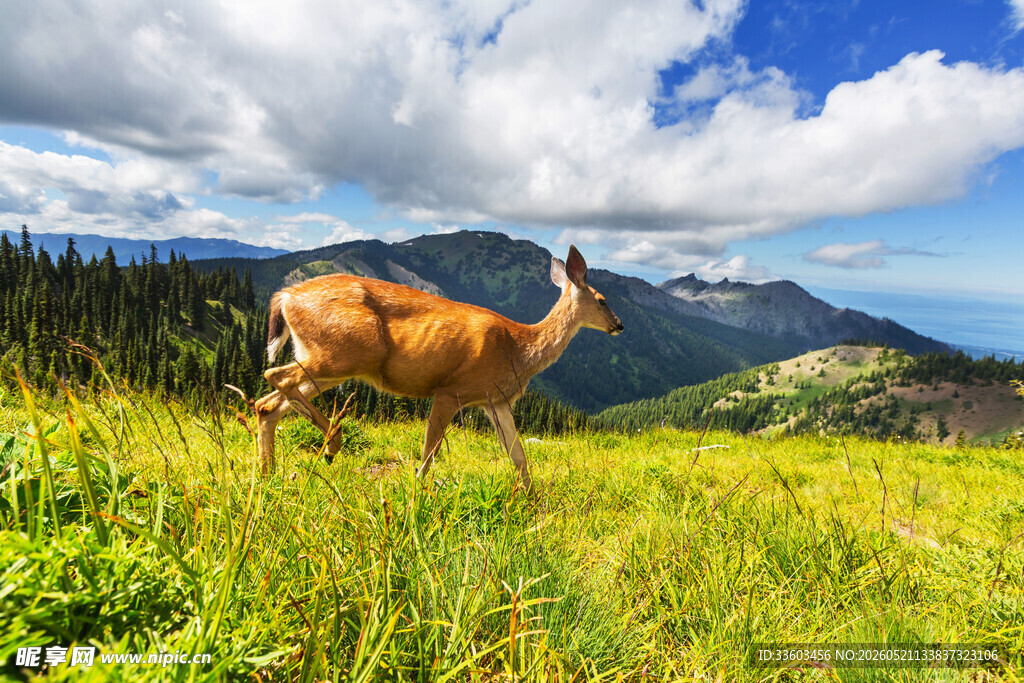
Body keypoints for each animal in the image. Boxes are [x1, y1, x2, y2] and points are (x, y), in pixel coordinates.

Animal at [254, 244, 623, 492]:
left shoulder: (495, 400)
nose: (619, 325)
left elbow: (518, 456)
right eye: (603, 300)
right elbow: (429, 454)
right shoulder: (450, 391)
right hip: (344, 353)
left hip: (331, 361)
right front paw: (415, 495)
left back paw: (269, 475)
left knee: (267, 404)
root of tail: (285, 297)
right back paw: (331, 443)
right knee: (274, 376)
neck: (519, 349)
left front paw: (532, 502)